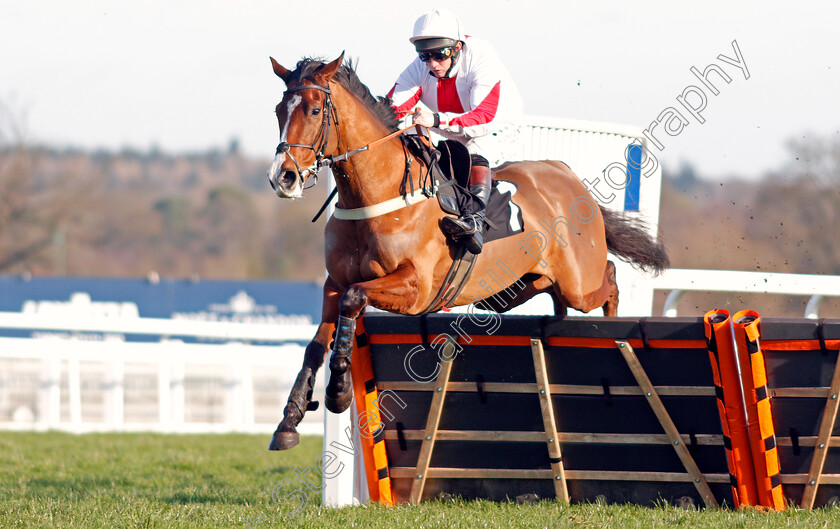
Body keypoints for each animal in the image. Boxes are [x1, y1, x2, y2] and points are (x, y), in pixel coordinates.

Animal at [266, 53, 668, 450]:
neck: (379, 193)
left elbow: (353, 301)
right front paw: (289, 420)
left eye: (314, 110)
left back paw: (612, 326)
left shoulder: (414, 288)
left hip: (579, 283)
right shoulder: (334, 283)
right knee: (559, 297)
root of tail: (566, 175)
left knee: (609, 280)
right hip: (519, 288)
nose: (283, 177)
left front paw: (338, 392)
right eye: (278, 110)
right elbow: (317, 344)